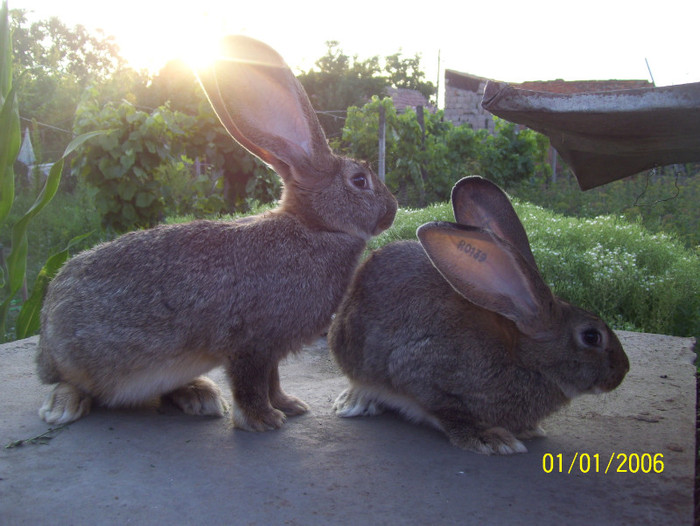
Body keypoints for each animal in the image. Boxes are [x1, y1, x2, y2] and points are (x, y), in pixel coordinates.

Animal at [37, 36, 400, 434]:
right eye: (360, 181)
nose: (393, 210)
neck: (314, 226)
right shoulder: (250, 343)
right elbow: (251, 382)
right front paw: (264, 420)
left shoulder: (270, 350)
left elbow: (272, 380)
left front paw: (289, 405)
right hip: (83, 362)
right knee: (69, 383)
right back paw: (63, 407)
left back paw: (200, 395)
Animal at [328, 176, 628, 454]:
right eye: (591, 336)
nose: (622, 371)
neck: (523, 358)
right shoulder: (420, 374)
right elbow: (449, 414)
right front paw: (492, 440)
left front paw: (528, 430)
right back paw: (356, 402)